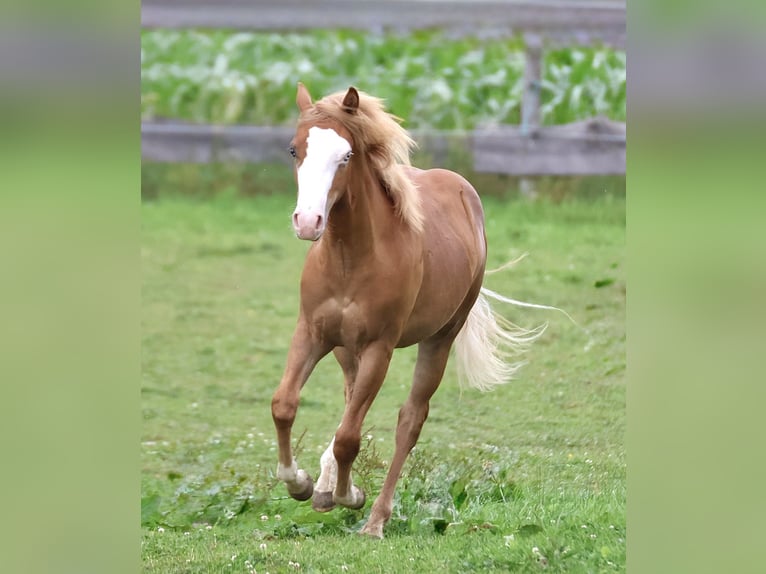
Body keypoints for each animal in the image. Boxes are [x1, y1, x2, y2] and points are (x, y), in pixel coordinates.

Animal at [271, 83, 544, 538]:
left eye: (346, 155)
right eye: (295, 149)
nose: (308, 222)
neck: (350, 258)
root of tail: (464, 190)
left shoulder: (379, 348)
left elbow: (350, 437)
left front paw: (350, 497)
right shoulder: (311, 333)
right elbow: (285, 406)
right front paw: (303, 485)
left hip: (440, 338)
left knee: (409, 421)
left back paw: (375, 519)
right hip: (345, 349)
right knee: (350, 402)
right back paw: (327, 488)